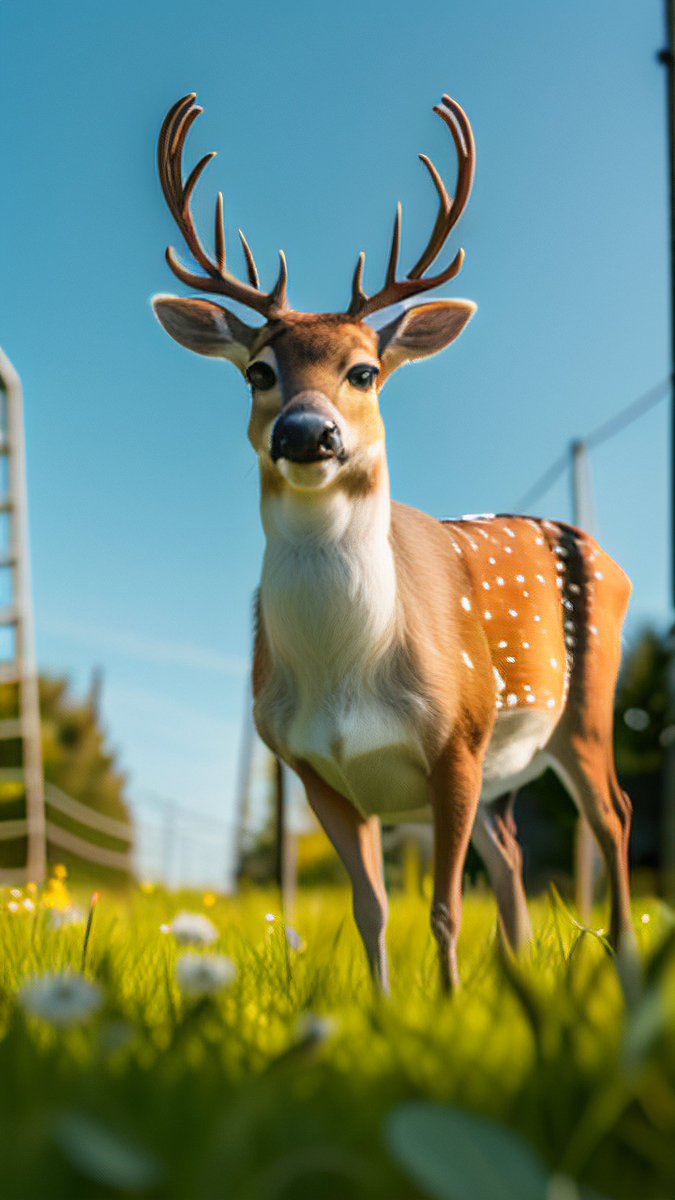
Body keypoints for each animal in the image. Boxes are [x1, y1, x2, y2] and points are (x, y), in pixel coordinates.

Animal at [152, 92, 635, 992]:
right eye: (258, 371)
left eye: (364, 370)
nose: (307, 434)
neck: (349, 676)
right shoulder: (314, 768)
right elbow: (370, 912)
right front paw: (385, 1011)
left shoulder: (457, 740)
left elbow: (441, 909)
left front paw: (442, 1006)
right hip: (504, 773)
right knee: (513, 857)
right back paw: (520, 977)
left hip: (583, 707)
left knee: (613, 816)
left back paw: (624, 972)